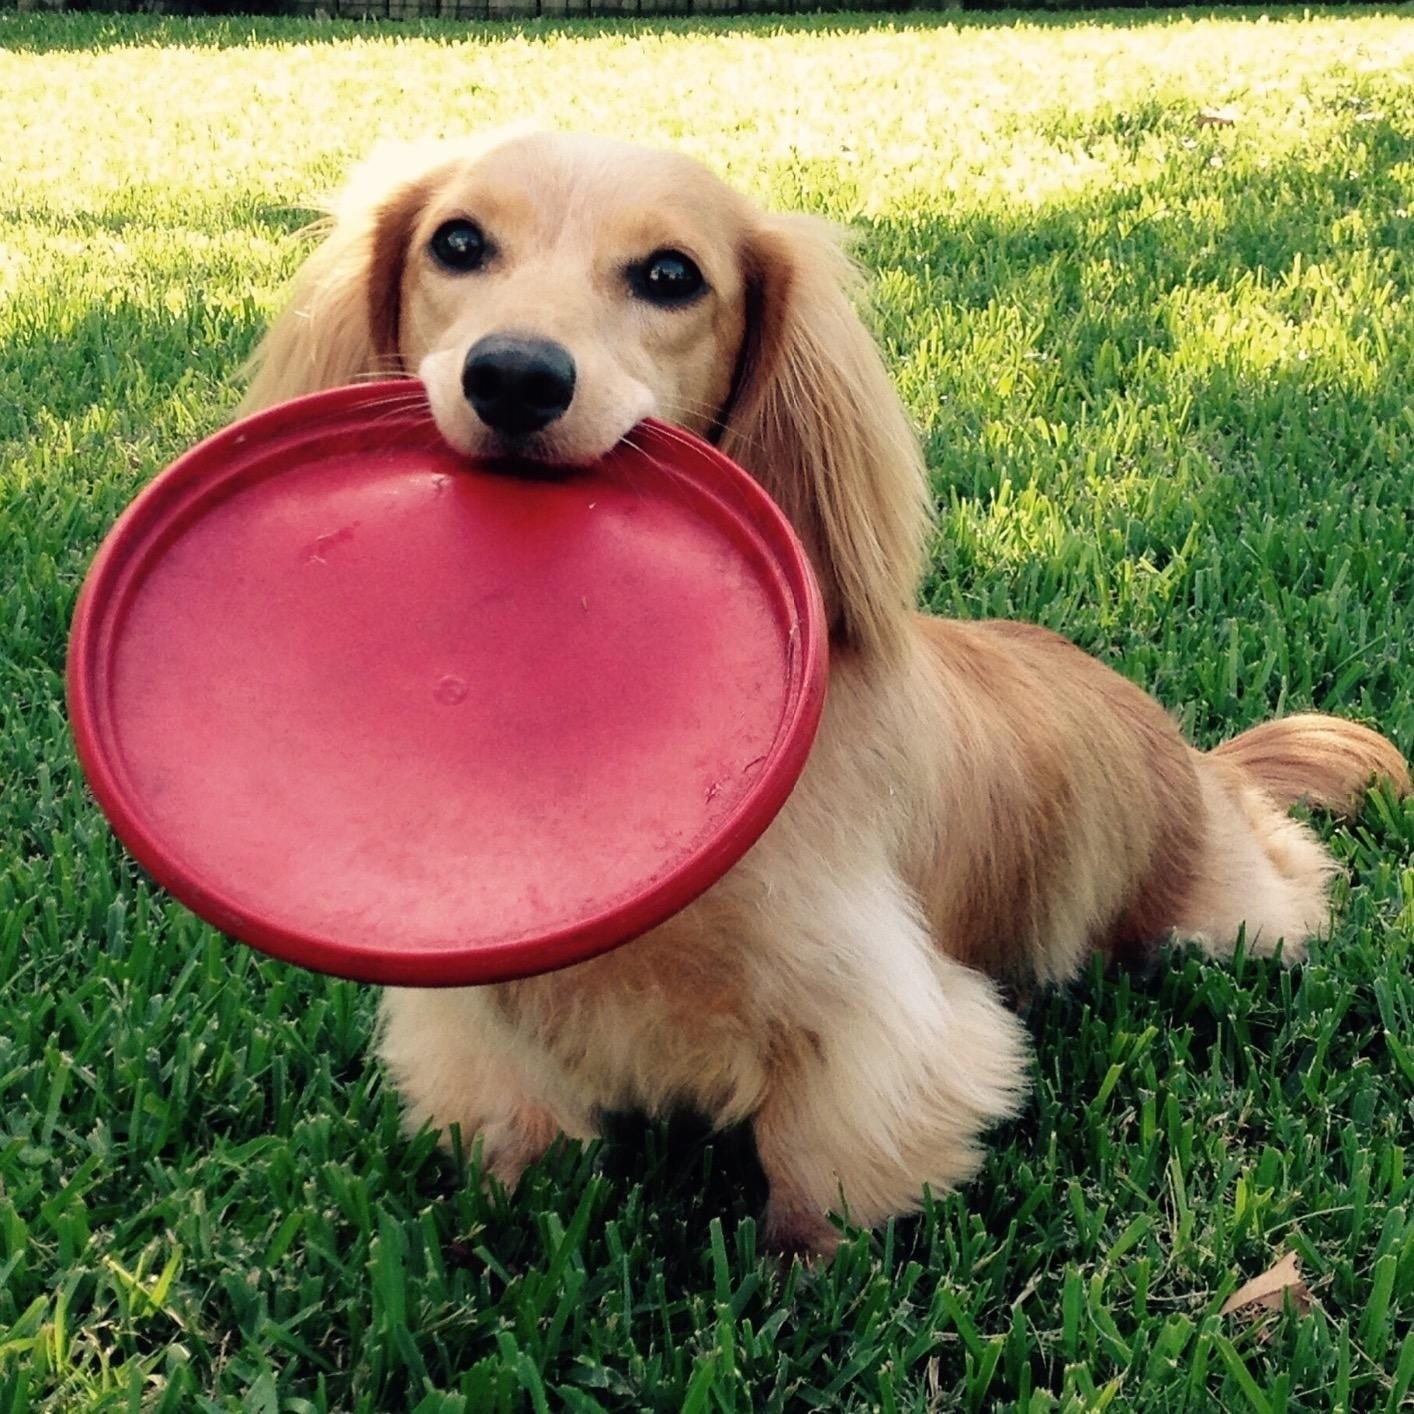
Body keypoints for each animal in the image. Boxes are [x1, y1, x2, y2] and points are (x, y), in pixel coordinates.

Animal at [240, 132, 1402, 1255]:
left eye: (671, 275)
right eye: (457, 243)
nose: (515, 377)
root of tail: (1196, 759)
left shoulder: (878, 1015)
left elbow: (819, 1167)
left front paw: (801, 1279)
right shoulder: (481, 1012)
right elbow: (512, 1128)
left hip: (1230, 916)